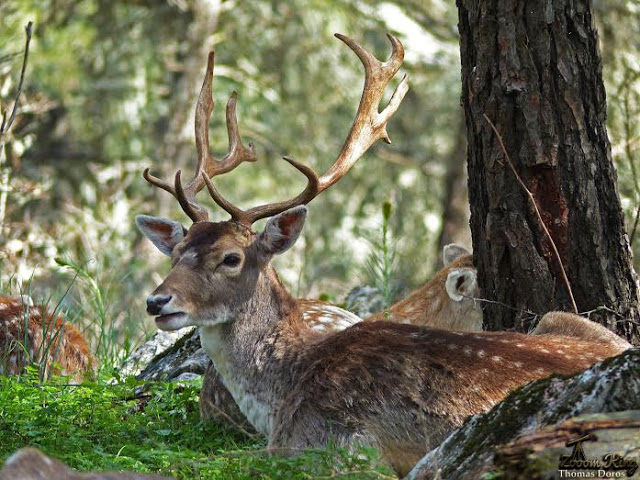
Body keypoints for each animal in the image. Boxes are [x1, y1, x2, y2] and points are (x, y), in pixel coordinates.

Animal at [136, 34, 632, 476]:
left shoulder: (339, 445)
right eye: (176, 252)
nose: (157, 301)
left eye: (231, 258)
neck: (283, 392)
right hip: (564, 319)